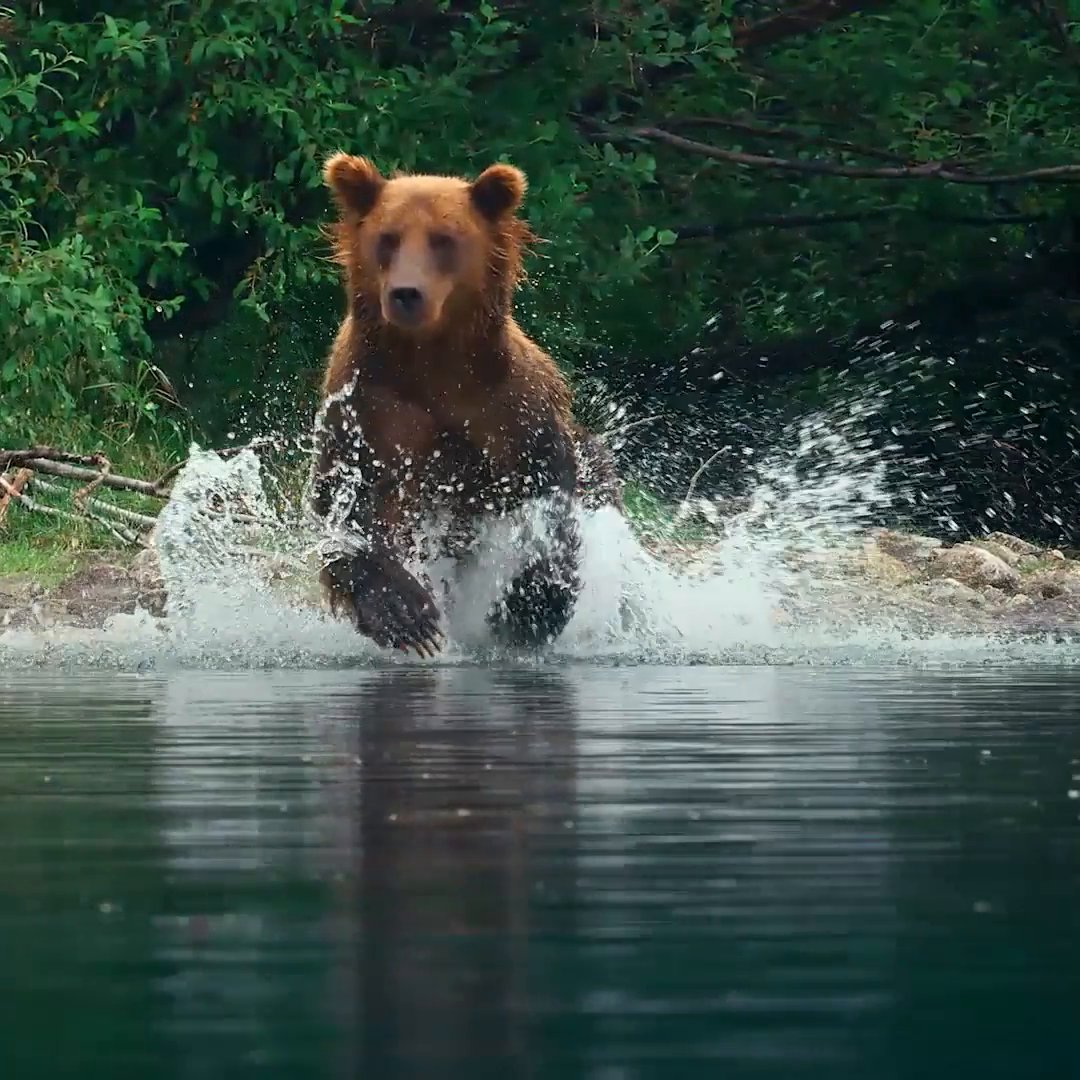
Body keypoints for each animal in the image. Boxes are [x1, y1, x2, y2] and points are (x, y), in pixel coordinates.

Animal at [308, 152, 622, 658]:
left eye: (444, 239)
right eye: (388, 237)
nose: (406, 294)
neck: (432, 362)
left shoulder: (510, 408)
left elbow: (548, 509)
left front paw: (524, 611)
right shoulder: (369, 406)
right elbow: (349, 507)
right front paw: (408, 617)